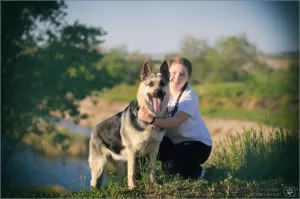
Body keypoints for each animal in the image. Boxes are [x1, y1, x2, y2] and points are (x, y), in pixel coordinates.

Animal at [88, 60, 170, 190]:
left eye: (162, 83)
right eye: (151, 84)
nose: (158, 92)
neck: (149, 119)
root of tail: (95, 128)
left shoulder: (154, 150)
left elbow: (152, 169)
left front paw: (155, 184)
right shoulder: (132, 151)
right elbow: (131, 172)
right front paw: (132, 187)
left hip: (120, 165)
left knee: (119, 178)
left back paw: (120, 189)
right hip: (99, 165)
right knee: (94, 181)